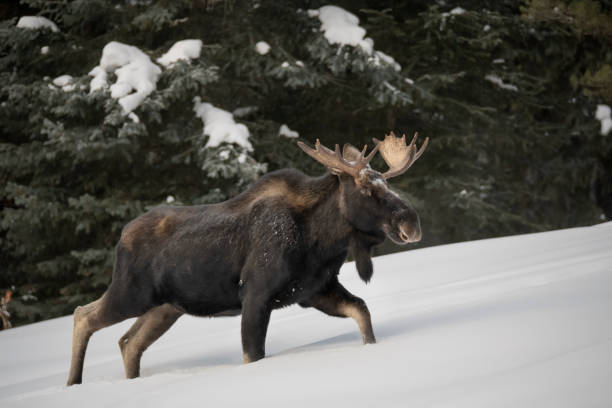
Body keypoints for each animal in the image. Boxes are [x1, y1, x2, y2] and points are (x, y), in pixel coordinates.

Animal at [67, 131, 428, 386]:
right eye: (367, 190)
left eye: (388, 185)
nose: (412, 222)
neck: (322, 240)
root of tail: (122, 237)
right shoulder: (256, 293)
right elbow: (252, 354)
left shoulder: (314, 290)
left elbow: (363, 313)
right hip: (131, 293)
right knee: (83, 315)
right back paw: (73, 383)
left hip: (166, 307)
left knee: (128, 342)